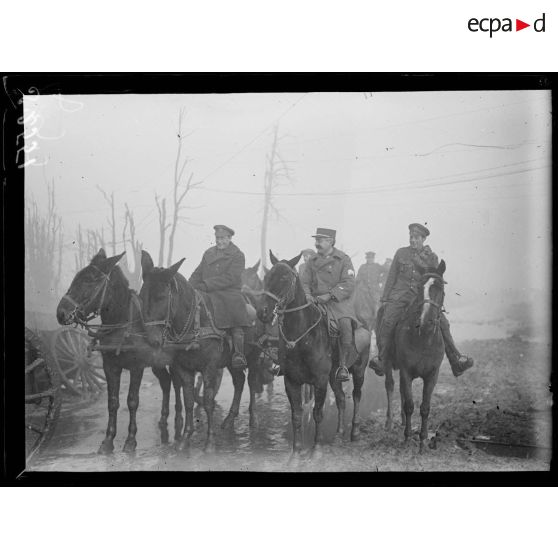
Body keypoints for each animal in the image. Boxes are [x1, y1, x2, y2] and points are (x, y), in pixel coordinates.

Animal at [54, 249, 183, 456]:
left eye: (90, 280)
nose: (61, 313)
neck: (122, 324)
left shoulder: (137, 367)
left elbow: (132, 400)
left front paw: (130, 440)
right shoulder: (110, 366)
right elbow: (113, 402)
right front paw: (108, 441)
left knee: (178, 384)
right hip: (157, 363)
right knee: (166, 382)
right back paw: (163, 418)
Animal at [260, 254, 372, 456]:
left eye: (285, 278)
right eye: (266, 277)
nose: (262, 312)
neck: (302, 336)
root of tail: (364, 325)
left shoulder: (319, 381)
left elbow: (318, 413)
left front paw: (317, 448)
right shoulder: (291, 381)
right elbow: (296, 415)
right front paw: (296, 452)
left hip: (359, 370)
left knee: (356, 395)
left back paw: (354, 432)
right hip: (334, 376)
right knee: (341, 398)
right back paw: (338, 434)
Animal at [382, 260, 448, 452]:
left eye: (439, 287)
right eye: (419, 287)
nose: (426, 322)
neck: (423, 338)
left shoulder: (432, 375)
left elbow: (425, 407)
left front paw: (423, 440)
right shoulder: (406, 372)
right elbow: (410, 405)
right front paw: (407, 437)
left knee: (401, 392)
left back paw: (404, 422)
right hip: (387, 363)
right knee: (390, 386)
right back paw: (390, 422)